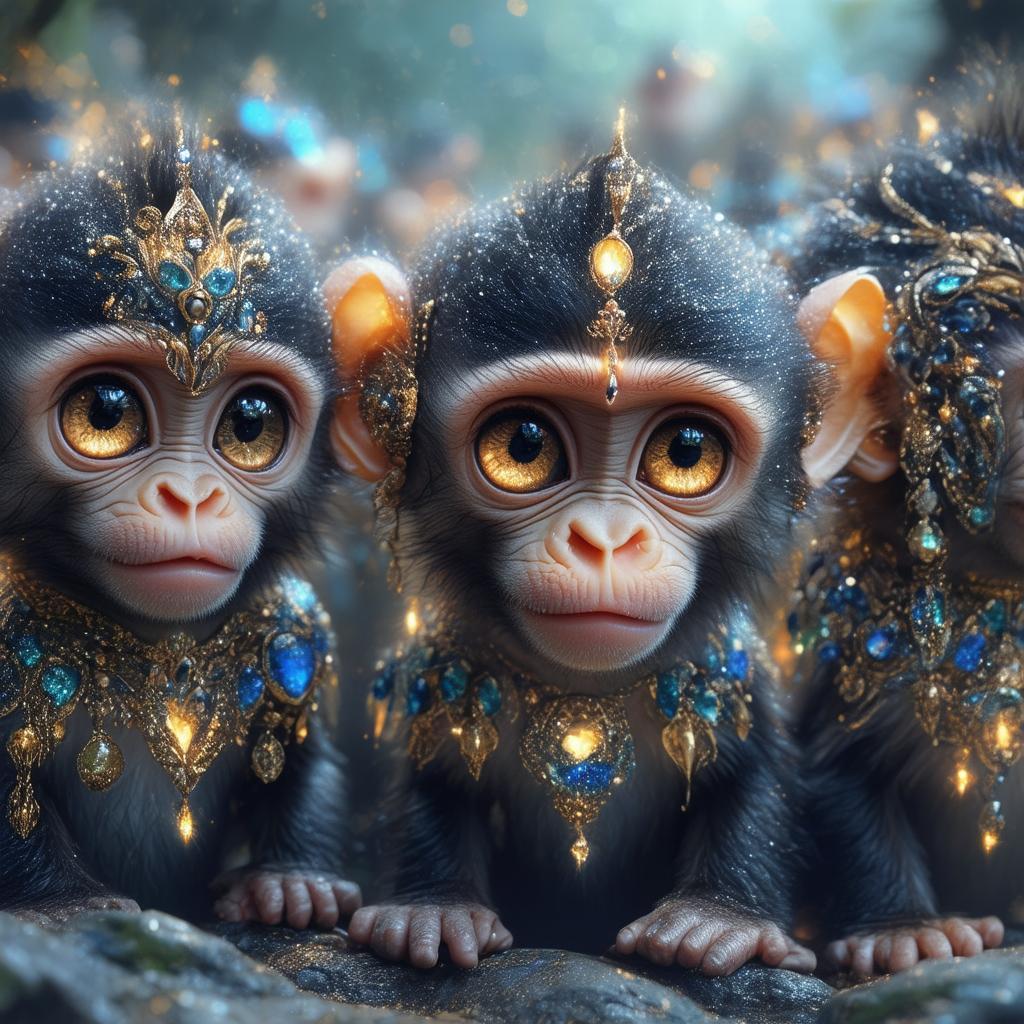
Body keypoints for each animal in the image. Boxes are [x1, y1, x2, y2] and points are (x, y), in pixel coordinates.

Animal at [0, 117, 361, 929]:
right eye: (105, 411)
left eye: (250, 423)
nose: (189, 499)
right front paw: (68, 902)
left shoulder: (290, 630)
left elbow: (305, 757)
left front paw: (292, 882)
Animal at [324, 118, 857, 977]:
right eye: (525, 443)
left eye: (685, 451)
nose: (605, 540)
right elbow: (436, 775)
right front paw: (428, 910)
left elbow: (755, 780)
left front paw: (718, 921)